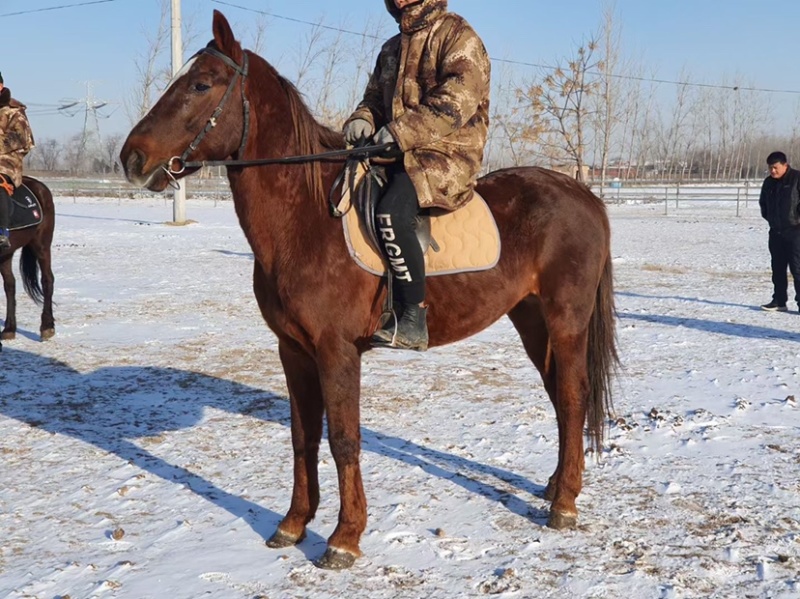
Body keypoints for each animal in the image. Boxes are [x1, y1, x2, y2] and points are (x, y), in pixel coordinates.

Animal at [0, 175, 56, 347]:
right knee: (10, 285)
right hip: (6, 254)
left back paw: (47, 327)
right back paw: (9, 329)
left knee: (47, 280)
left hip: (42, 246)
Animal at [120, 10, 618, 570]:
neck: (307, 218)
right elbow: (302, 437)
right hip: (531, 319)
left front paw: (344, 537)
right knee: (559, 396)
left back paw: (564, 505)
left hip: (565, 319)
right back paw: (554, 486)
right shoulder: (293, 350)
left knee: (572, 397)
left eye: (202, 85)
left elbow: (343, 440)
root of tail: (584, 195)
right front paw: (293, 524)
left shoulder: (336, 351)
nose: (132, 158)